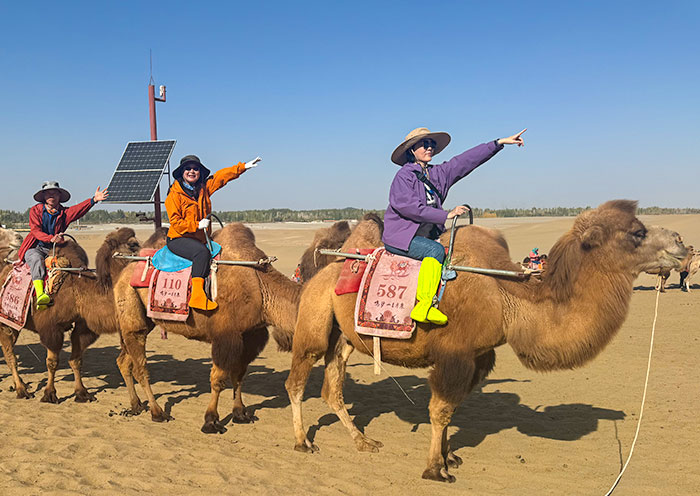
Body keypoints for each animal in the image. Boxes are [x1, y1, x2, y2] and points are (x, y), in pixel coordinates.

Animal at [0, 227, 148, 402]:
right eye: (133, 244)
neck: (78, 290)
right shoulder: (51, 328)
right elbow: (52, 362)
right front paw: (49, 394)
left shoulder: (83, 326)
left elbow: (76, 360)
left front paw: (82, 392)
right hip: (6, 320)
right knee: (10, 355)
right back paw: (21, 390)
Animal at [111, 219, 358, 432]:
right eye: (341, 242)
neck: (261, 287)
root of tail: (122, 273)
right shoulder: (226, 336)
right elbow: (218, 379)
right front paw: (211, 421)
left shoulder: (250, 335)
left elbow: (239, 375)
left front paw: (240, 413)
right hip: (133, 316)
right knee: (141, 366)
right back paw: (157, 411)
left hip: (140, 321)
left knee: (124, 361)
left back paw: (135, 405)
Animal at [286, 200, 688, 482]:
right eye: (637, 232)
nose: (682, 243)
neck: (507, 298)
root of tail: (322, 267)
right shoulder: (455, 354)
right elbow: (440, 409)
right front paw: (435, 469)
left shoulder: (479, 357)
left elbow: (453, 409)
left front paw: (449, 456)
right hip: (315, 318)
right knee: (297, 380)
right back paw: (303, 442)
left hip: (343, 336)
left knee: (332, 387)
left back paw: (363, 441)